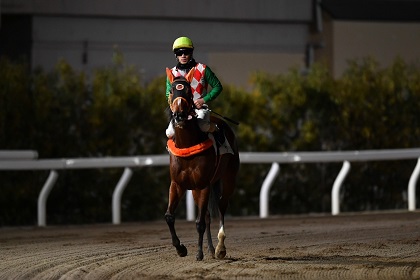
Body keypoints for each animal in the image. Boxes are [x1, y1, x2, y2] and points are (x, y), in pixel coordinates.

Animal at [166, 69, 241, 262]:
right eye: (171, 91)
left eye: (188, 91)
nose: (179, 116)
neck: (187, 144)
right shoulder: (177, 184)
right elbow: (169, 216)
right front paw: (180, 248)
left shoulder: (203, 184)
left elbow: (199, 222)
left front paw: (198, 253)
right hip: (197, 188)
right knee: (207, 214)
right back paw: (211, 248)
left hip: (228, 178)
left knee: (221, 206)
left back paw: (220, 247)